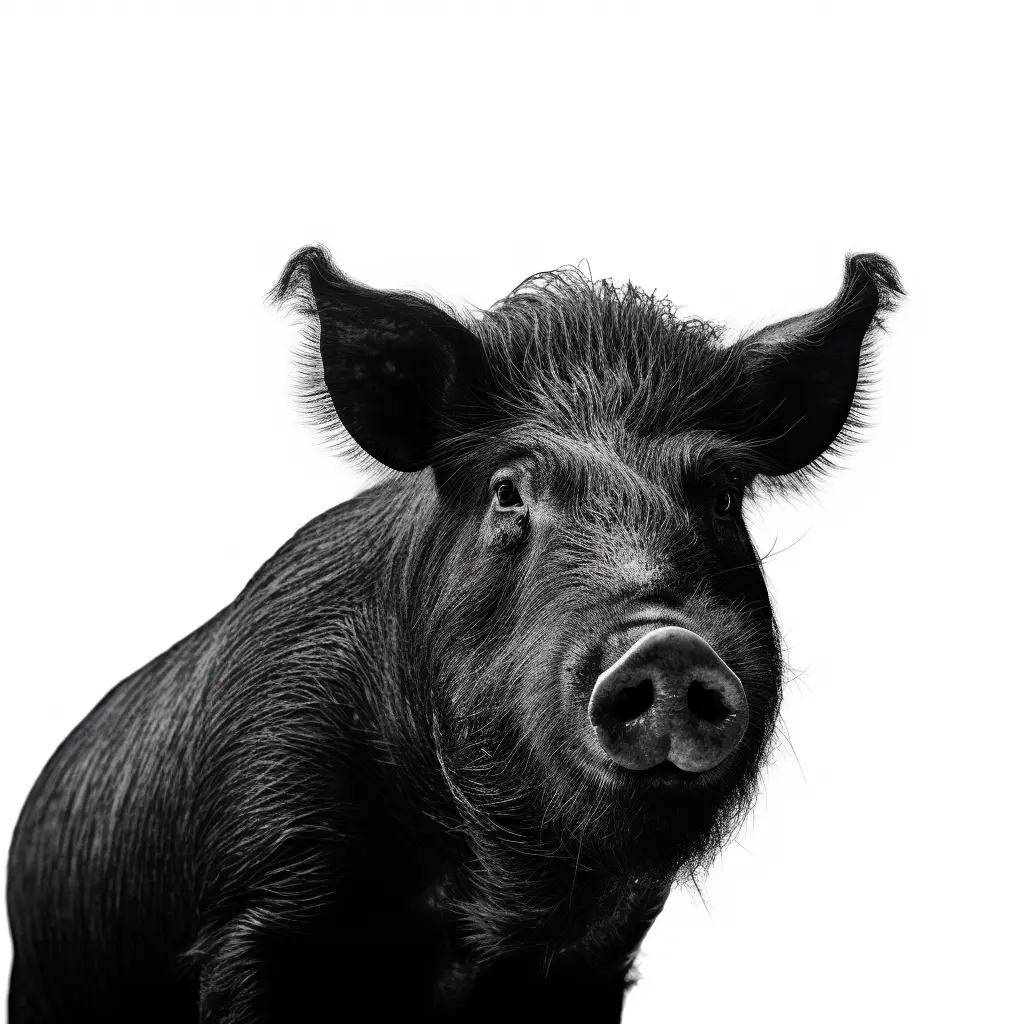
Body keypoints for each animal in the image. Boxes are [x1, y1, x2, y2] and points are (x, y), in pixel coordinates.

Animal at [6, 249, 902, 1023]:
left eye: (721, 497)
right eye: (508, 493)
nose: (666, 644)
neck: (492, 902)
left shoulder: (596, 955)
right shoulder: (258, 901)